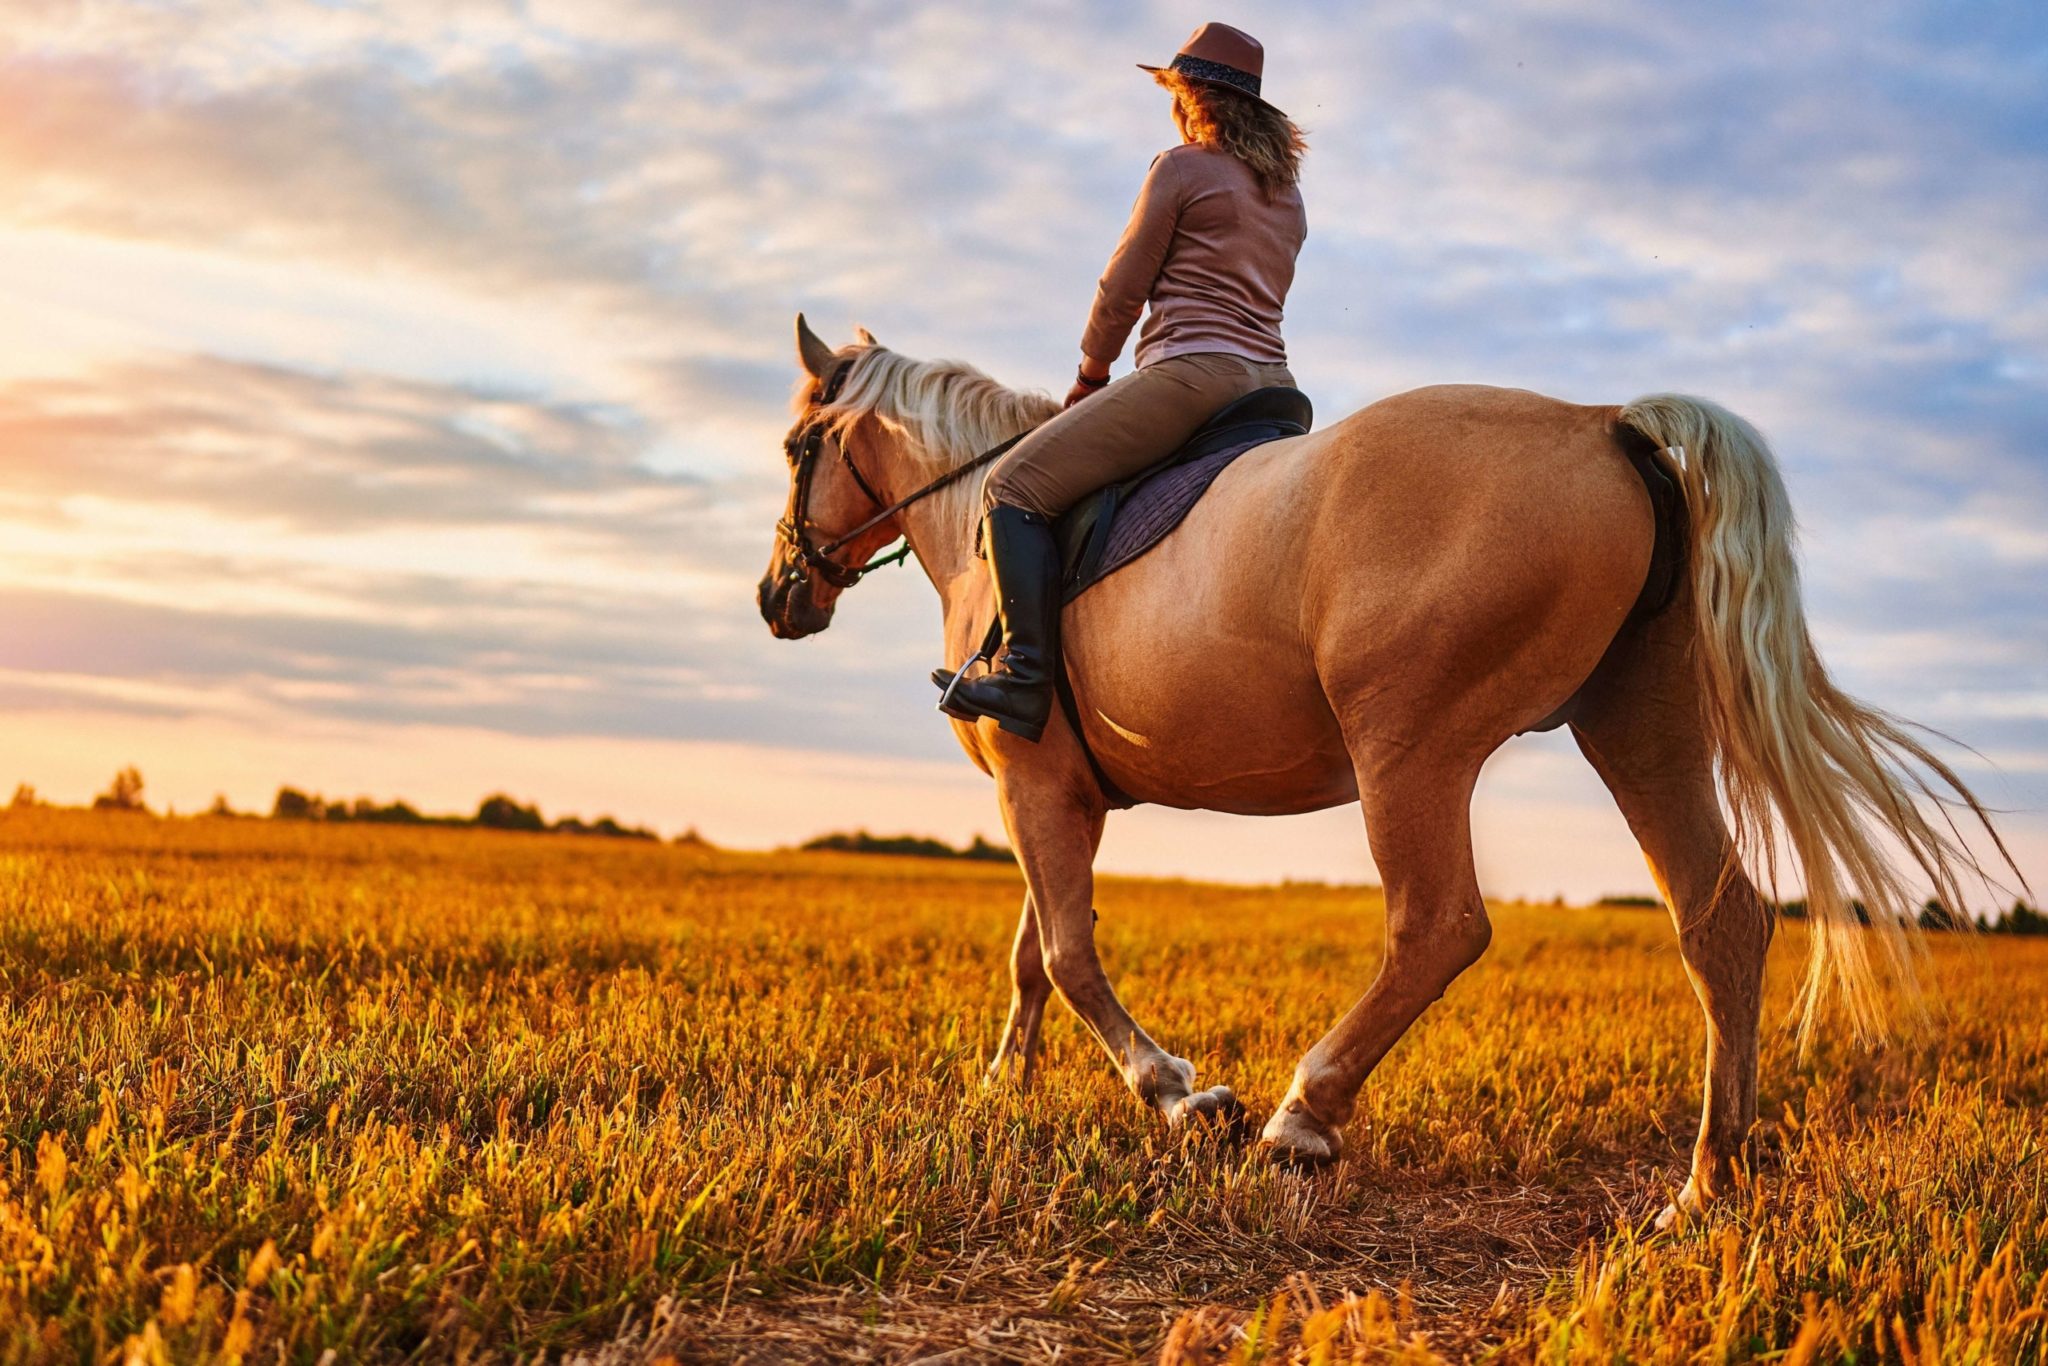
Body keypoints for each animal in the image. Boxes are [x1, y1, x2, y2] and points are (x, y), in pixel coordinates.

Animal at [757, 315, 2015, 1220]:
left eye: (793, 446)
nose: (778, 597)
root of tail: (1604, 425)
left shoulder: (1030, 782)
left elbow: (1064, 954)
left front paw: (1182, 1095)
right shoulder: (1057, 792)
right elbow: (1031, 955)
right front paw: (1000, 1089)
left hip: (1408, 744)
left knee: (1437, 924)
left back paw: (1299, 1118)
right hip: (1639, 727)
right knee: (1722, 923)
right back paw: (1709, 1185)